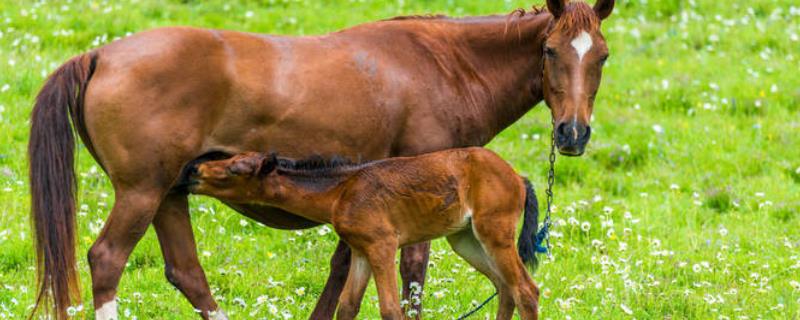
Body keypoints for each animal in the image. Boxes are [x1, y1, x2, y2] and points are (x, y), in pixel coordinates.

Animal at [191, 148, 544, 320]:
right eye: (232, 159)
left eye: (233, 170)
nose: (195, 170)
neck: (341, 191)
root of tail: (518, 177)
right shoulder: (361, 250)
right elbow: (347, 306)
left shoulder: (382, 246)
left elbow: (390, 308)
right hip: (465, 239)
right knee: (505, 287)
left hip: (494, 232)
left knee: (526, 290)